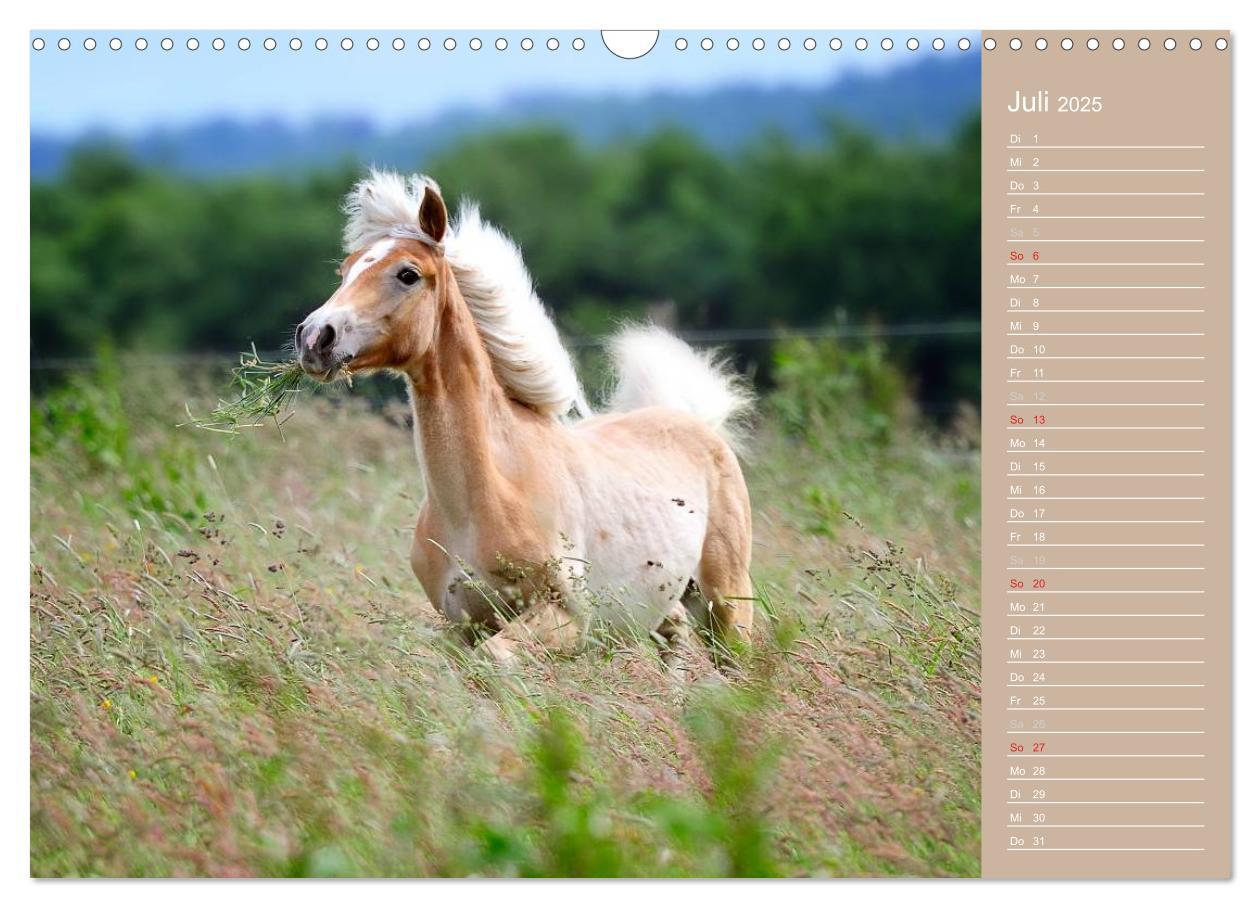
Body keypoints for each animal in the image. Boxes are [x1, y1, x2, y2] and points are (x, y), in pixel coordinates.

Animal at [293, 171, 745, 664]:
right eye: (346, 270)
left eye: (407, 274)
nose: (314, 338)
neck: (486, 495)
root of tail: (694, 422)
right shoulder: (461, 624)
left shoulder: (565, 618)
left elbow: (496, 658)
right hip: (668, 606)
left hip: (727, 603)